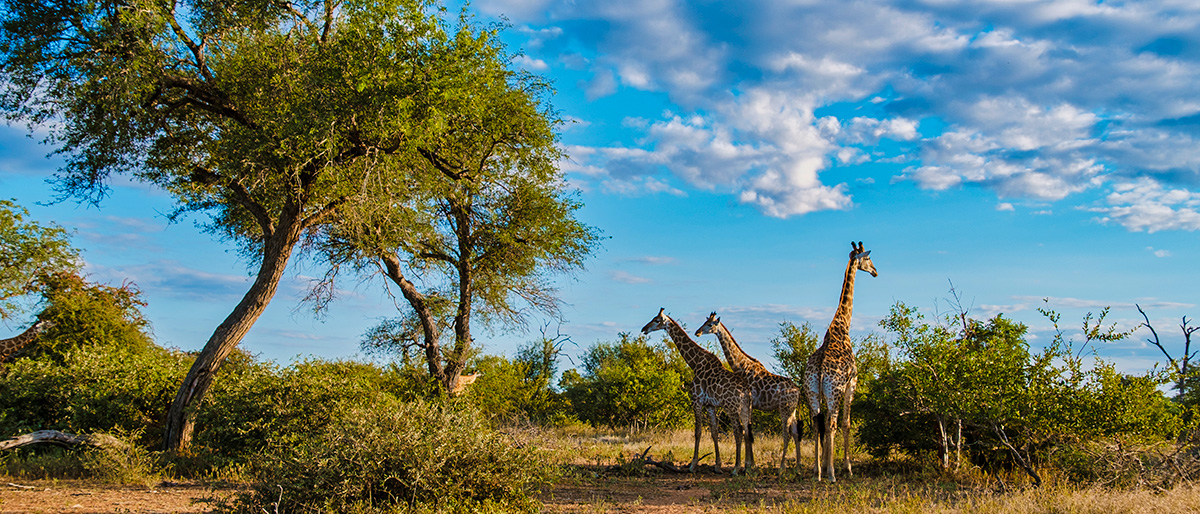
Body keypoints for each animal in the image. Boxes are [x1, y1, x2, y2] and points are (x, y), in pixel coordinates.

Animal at [641, 308, 755, 474]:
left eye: (656, 320)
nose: (644, 329)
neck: (694, 363)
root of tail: (747, 391)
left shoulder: (696, 400)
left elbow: (698, 432)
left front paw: (693, 465)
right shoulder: (710, 405)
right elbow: (714, 432)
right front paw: (717, 466)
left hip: (732, 407)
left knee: (738, 431)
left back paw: (736, 468)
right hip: (746, 408)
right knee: (747, 431)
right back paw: (747, 467)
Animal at [696, 312, 802, 471]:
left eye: (710, 324)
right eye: (704, 321)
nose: (697, 332)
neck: (741, 366)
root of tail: (798, 390)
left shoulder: (748, 403)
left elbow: (747, 431)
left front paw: (748, 465)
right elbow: (749, 432)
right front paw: (751, 464)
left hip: (785, 409)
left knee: (786, 434)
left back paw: (782, 467)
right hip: (792, 410)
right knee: (795, 433)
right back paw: (798, 466)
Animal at [804, 241, 877, 482]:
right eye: (868, 259)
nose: (875, 271)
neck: (842, 326)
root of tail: (818, 370)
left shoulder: (825, 393)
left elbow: (824, 425)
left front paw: (825, 465)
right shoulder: (851, 383)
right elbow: (846, 423)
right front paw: (846, 467)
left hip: (812, 392)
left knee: (817, 423)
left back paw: (817, 472)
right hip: (834, 391)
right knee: (833, 424)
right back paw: (832, 474)